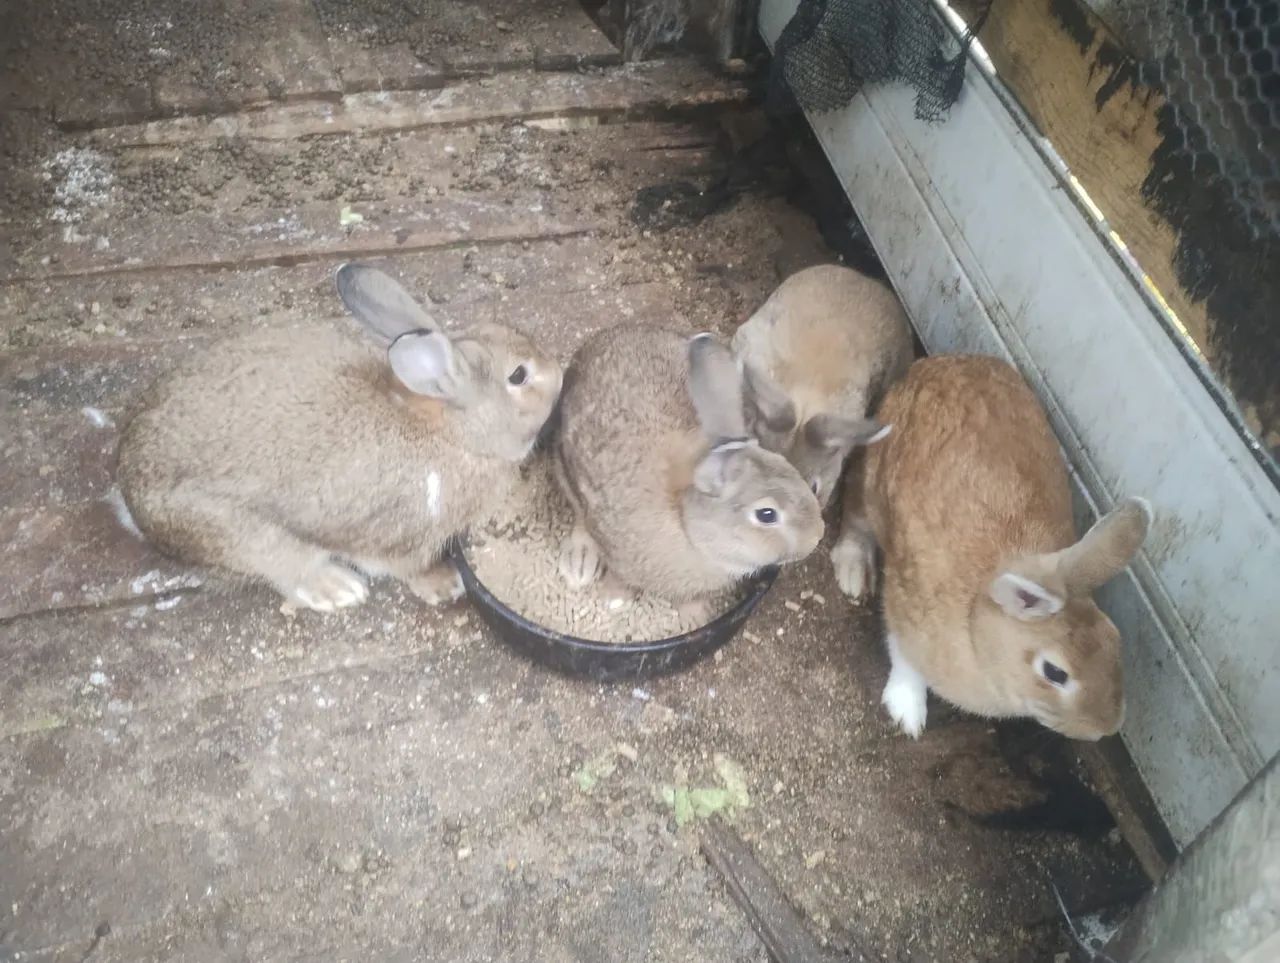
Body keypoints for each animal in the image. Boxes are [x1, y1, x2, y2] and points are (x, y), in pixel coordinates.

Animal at [117, 263, 563, 613]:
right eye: (518, 376)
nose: (559, 371)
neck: (455, 433)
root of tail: (130, 493)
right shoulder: (405, 537)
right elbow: (404, 568)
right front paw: (445, 583)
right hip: (249, 537)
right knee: (286, 570)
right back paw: (339, 589)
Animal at [552, 324, 827, 619]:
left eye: (788, 468)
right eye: (767, 514)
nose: (817, 535)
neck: (687, 522)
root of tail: (603, 338)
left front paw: (694, 615)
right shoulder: (617, 551)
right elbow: (620, 578)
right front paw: (613, 600)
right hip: (564, 468)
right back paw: (579, 561)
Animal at [838, 355, 1152, 741]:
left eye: (1114, 640)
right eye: (1055, 673)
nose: (1106, 727)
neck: (976, 627)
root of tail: (929, 364)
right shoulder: (905, 610)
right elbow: (904, 658)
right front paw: (907, 713)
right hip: (870, 482)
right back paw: (853, 572)